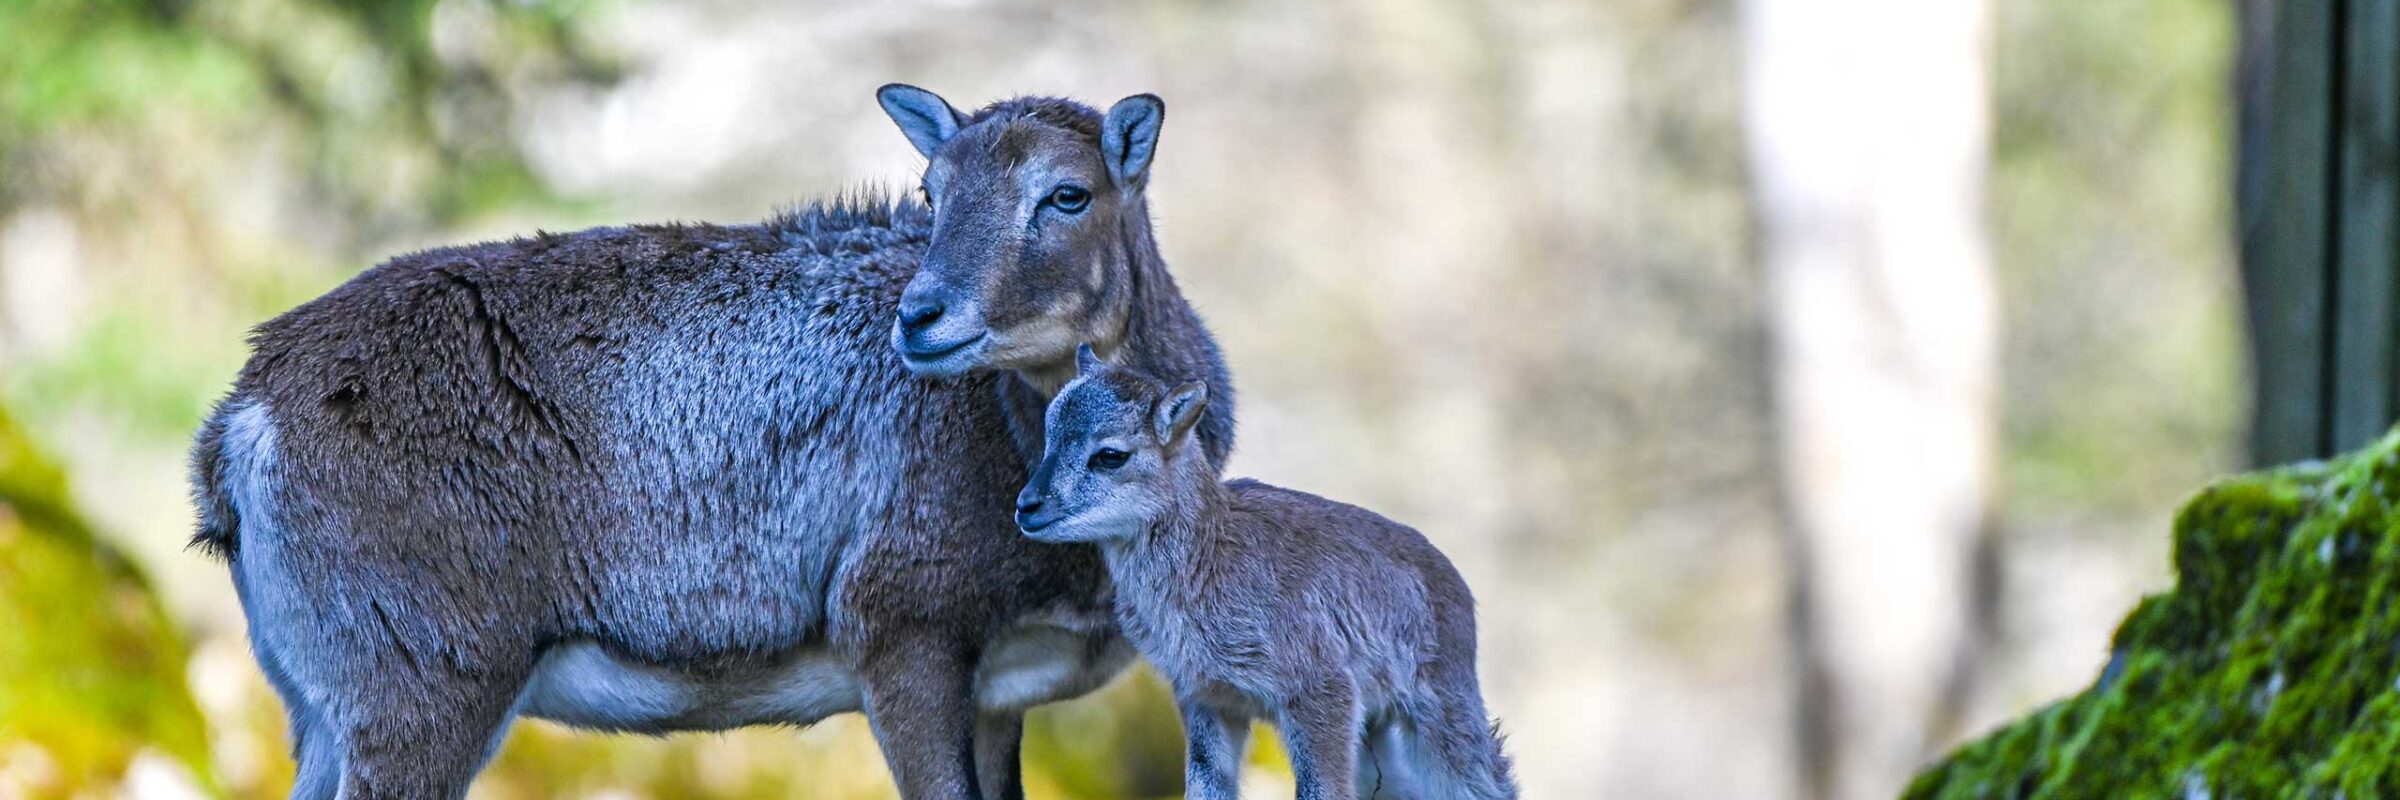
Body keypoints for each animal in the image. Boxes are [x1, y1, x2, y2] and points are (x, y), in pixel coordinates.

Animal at [1012, 345, 1516, 792]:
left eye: (1111, 455)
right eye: (1049, 434)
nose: (1027, 506)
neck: (1211, 564)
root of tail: (1456, 585)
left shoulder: (1321, 695)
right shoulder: (1208, 703)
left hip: (1441, 720)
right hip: (1379, 736)